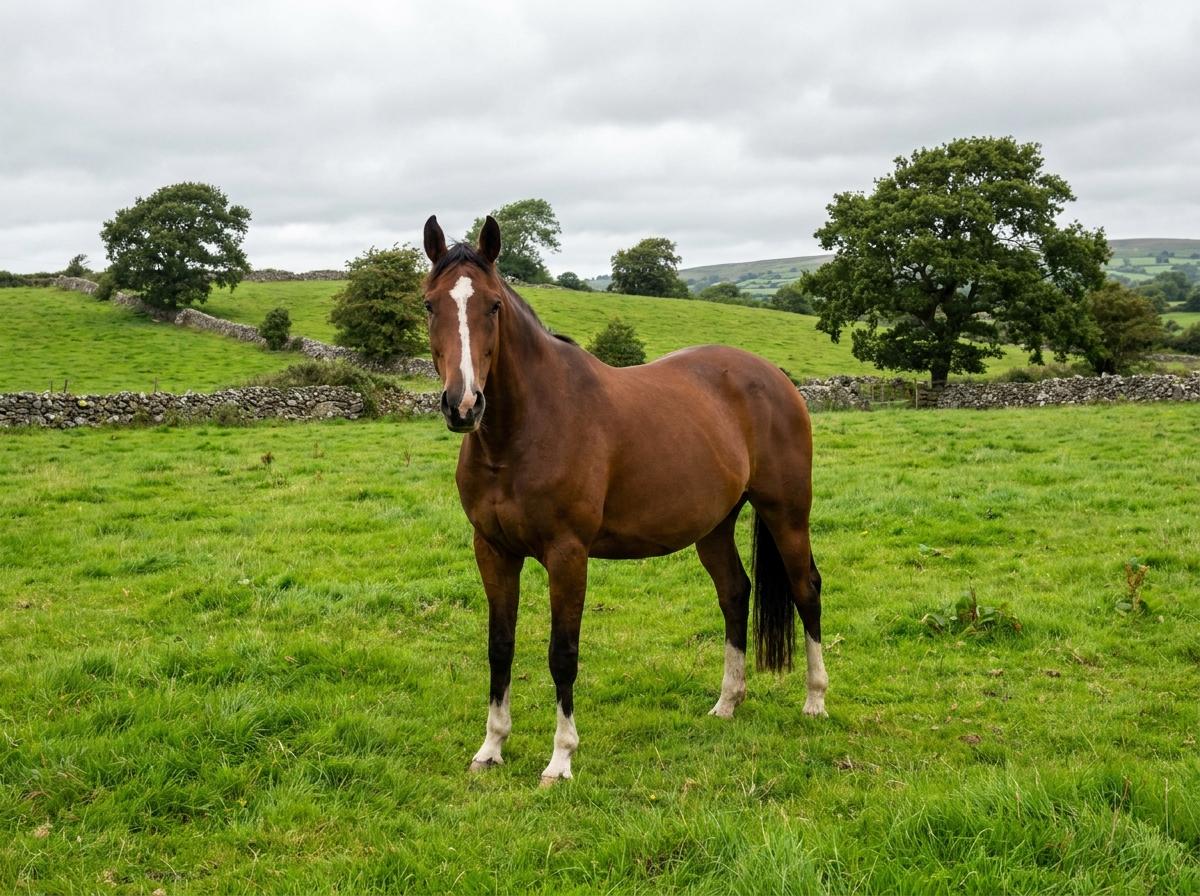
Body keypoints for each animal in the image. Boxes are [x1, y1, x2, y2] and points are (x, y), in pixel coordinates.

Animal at [422, 214, 827, 785]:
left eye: (494, 305)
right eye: (430, 304)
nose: (463, 405)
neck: (523, 431)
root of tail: (775, 378)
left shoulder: (567, 555)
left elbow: (562, 653)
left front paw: (561, 758)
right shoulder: (493, 550)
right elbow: (500, 647)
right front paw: (491, 747)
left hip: (786, 513)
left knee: (805, 588)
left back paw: (815, 700)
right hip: (714, 526)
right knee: (735, 593)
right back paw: (727, 702)